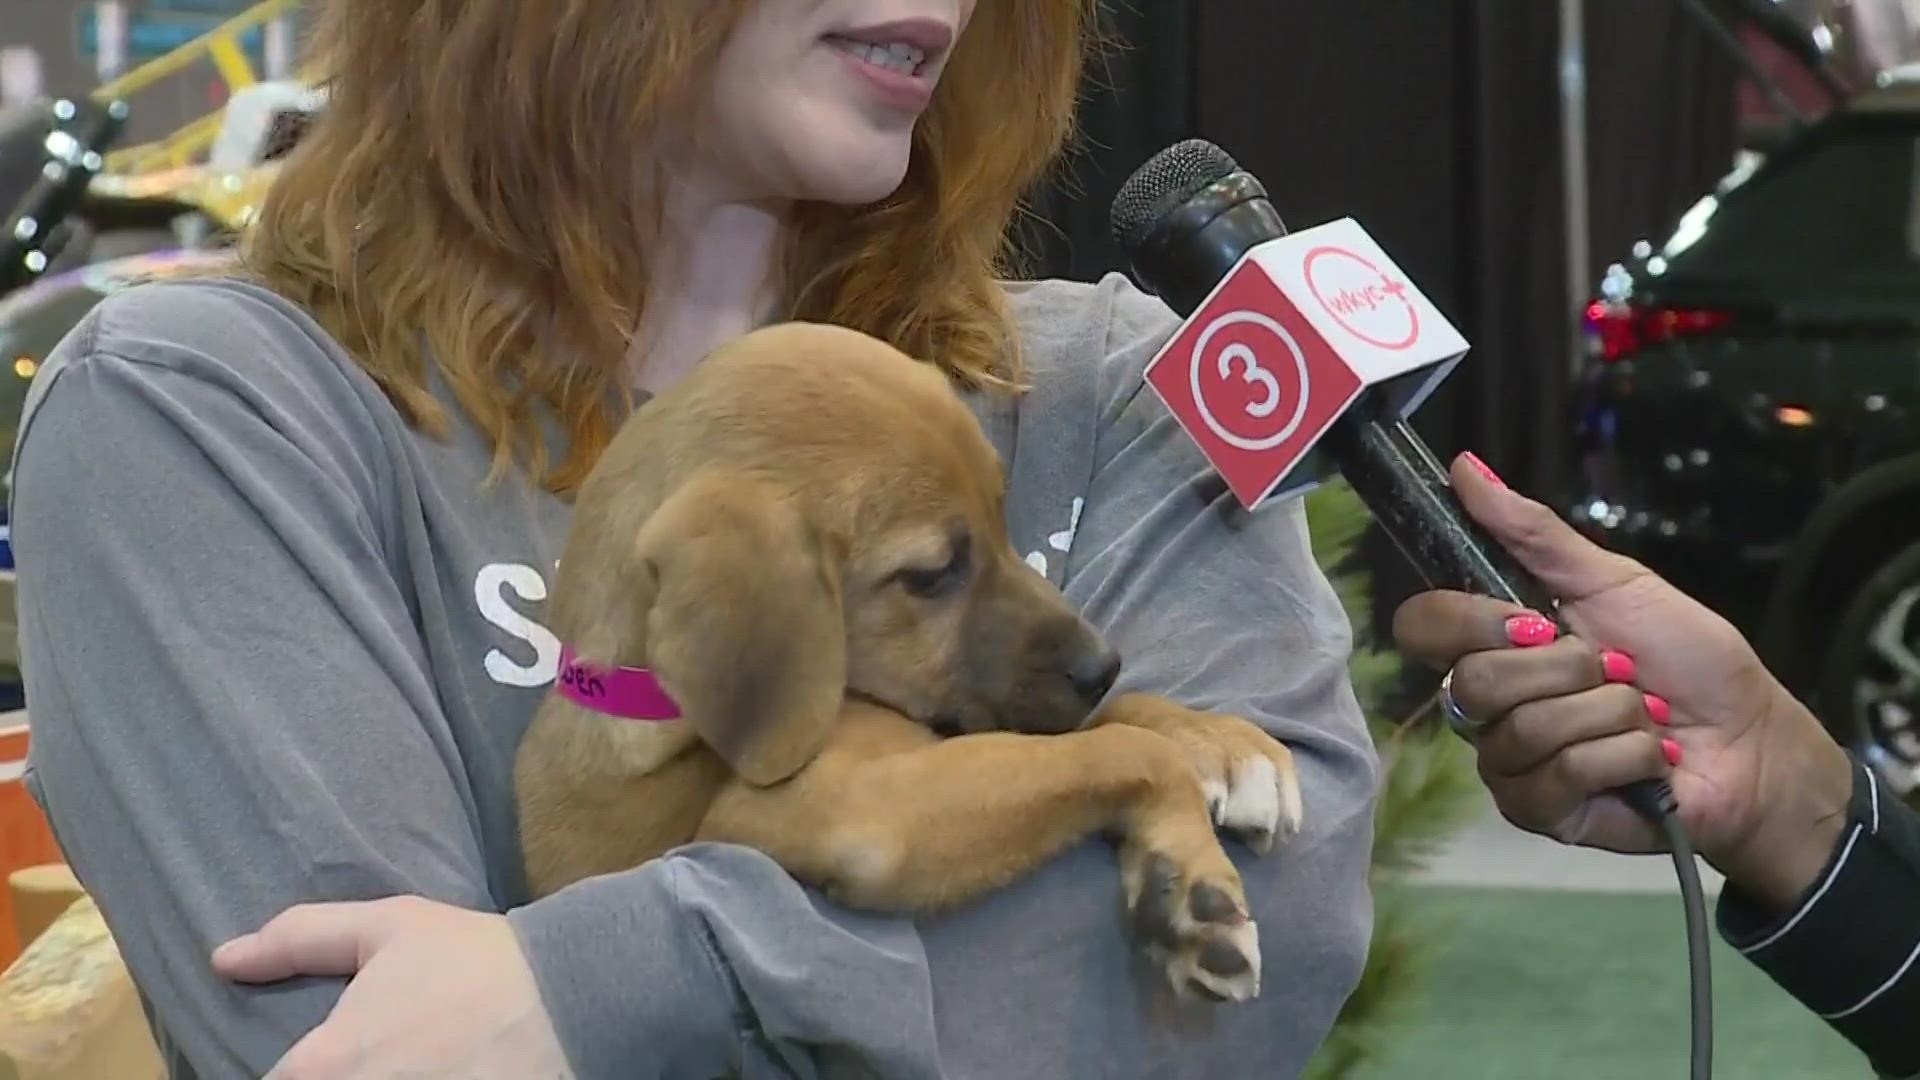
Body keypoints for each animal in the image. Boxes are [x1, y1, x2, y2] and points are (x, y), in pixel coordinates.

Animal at [510, 320, 1305, 999]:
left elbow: (1113, 725)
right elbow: (1118, 749)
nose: (1103, 664)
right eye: (932, 574)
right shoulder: (850, 809)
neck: (645, 701)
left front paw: (1223, 746)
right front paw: (1191, 880)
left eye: (1000, 515)